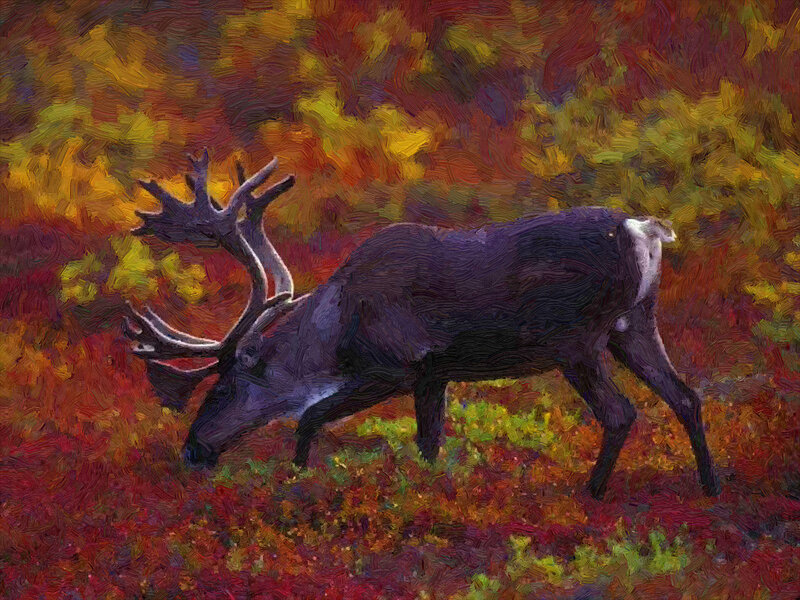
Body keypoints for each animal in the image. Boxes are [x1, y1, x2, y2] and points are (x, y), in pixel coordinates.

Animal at [123, 150, 721, 500]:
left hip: (578, 341)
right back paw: (711, 485)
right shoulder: (436, 374)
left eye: (223, 387)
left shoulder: (395, 367)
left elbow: (309, 417)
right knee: (686, 396)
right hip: (634, 325)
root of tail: (645, 231)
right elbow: (428, 441)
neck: (335, 329)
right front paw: (427, 494)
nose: (191, 450)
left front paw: (296, 481)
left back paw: (591, 494)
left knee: (620, 413)